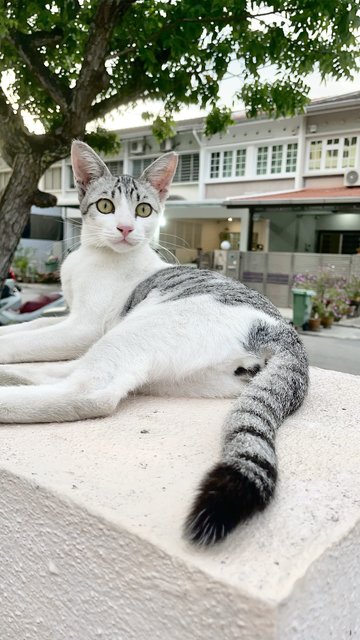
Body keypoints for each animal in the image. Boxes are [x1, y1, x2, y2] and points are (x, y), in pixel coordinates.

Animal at [0, 142, 310, 548]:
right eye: (105, 206)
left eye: (144, 209)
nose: (126, 228)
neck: (95, 255)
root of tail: (282, 331)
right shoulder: (67, 316)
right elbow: (27, 327)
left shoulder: (82, 327)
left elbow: (26, 339)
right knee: (65, 374)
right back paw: (18, 376)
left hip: (136, 329)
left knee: (89, 391)